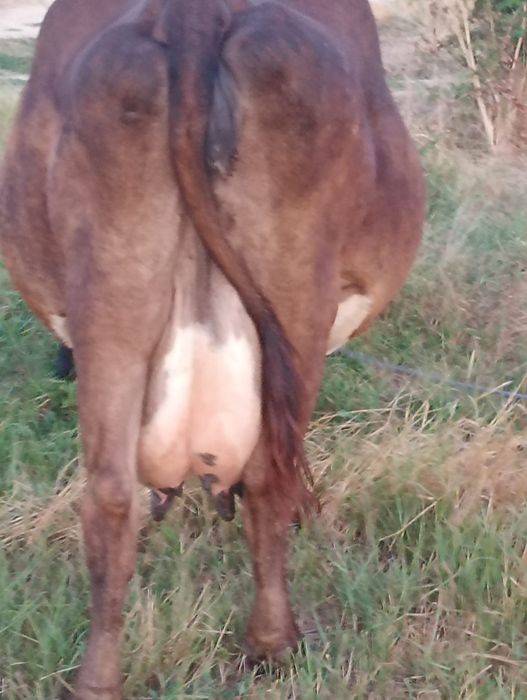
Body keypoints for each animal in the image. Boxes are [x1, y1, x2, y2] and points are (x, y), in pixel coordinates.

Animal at [0, 0, 425, 697]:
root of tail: (194, 11)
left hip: (113, 291)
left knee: (110, 495)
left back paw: (97, 681)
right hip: (296, 296)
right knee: (272, 471)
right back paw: (274, 644)